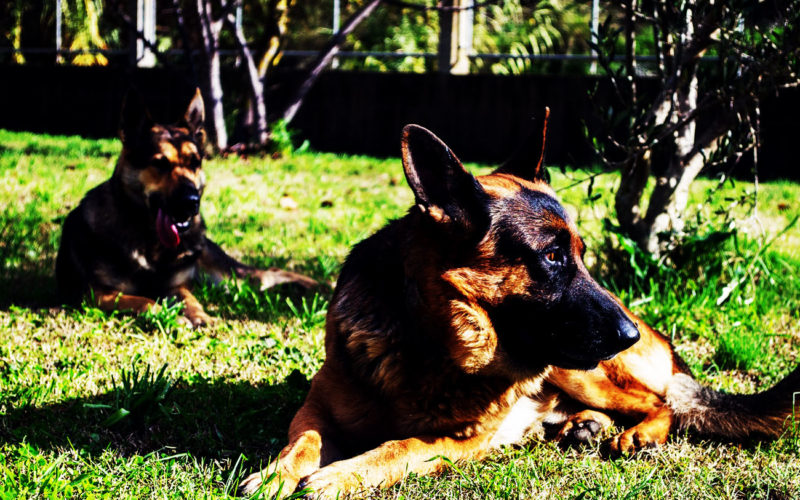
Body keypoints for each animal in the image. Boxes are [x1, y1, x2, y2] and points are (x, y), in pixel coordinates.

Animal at [55, 88, 316, 326]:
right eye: (160, 164)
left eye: (195, 162)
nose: (192, 202)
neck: (149, 239)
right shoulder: (98, 294)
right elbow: (143, 300)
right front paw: (167, 315)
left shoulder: (176, 287)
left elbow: (190, 299)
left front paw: (200, 315)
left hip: (230, 276)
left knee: (270, 273)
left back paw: (315, 285)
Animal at [242, 111, 800, 498]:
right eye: (552, 256)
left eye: (581, 255)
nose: (629, 336)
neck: (427, 342)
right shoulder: (316, 405)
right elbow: (303, 440)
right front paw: (275, 474)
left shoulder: (459, 441)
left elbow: (403, 445)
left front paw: (342, 476)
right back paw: (581, 426)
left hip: (579, 369)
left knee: (661, 403)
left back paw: (636, 433)